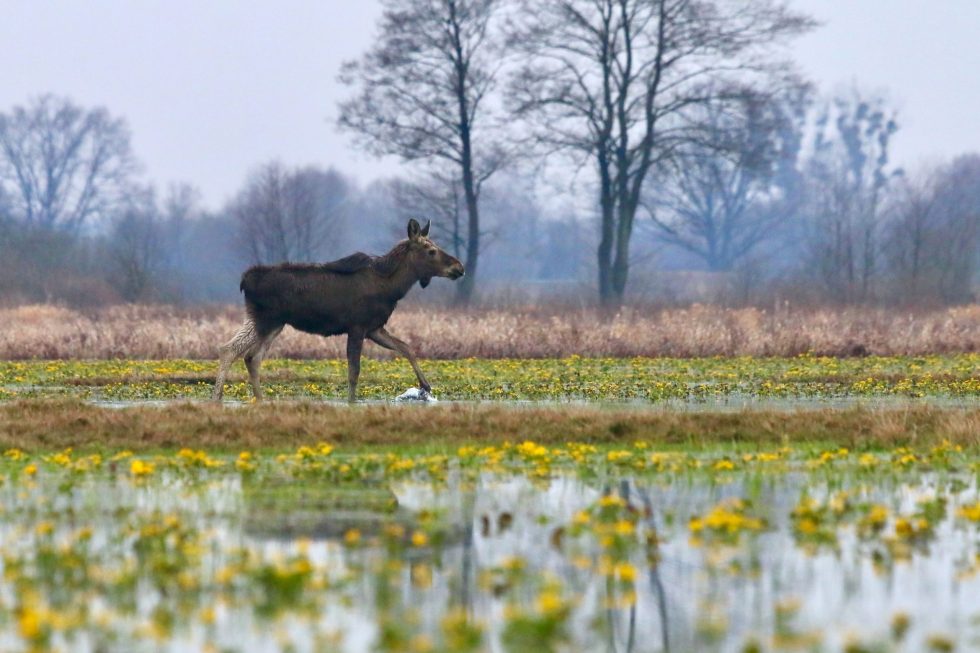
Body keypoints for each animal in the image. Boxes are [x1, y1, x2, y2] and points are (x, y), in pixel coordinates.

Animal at [212, 220, 464, 402]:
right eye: (430, 250)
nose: (459, 267)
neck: (393, 288)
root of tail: (245, 281)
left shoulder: (375, 328)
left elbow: (407, 348)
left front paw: (425, 386)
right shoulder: (358, 326)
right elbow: (354, 371)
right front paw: (351, 402)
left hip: (272, 323)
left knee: (250, 356)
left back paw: (260, 399)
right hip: (265, 319)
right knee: (231, 350)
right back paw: (217, 398)